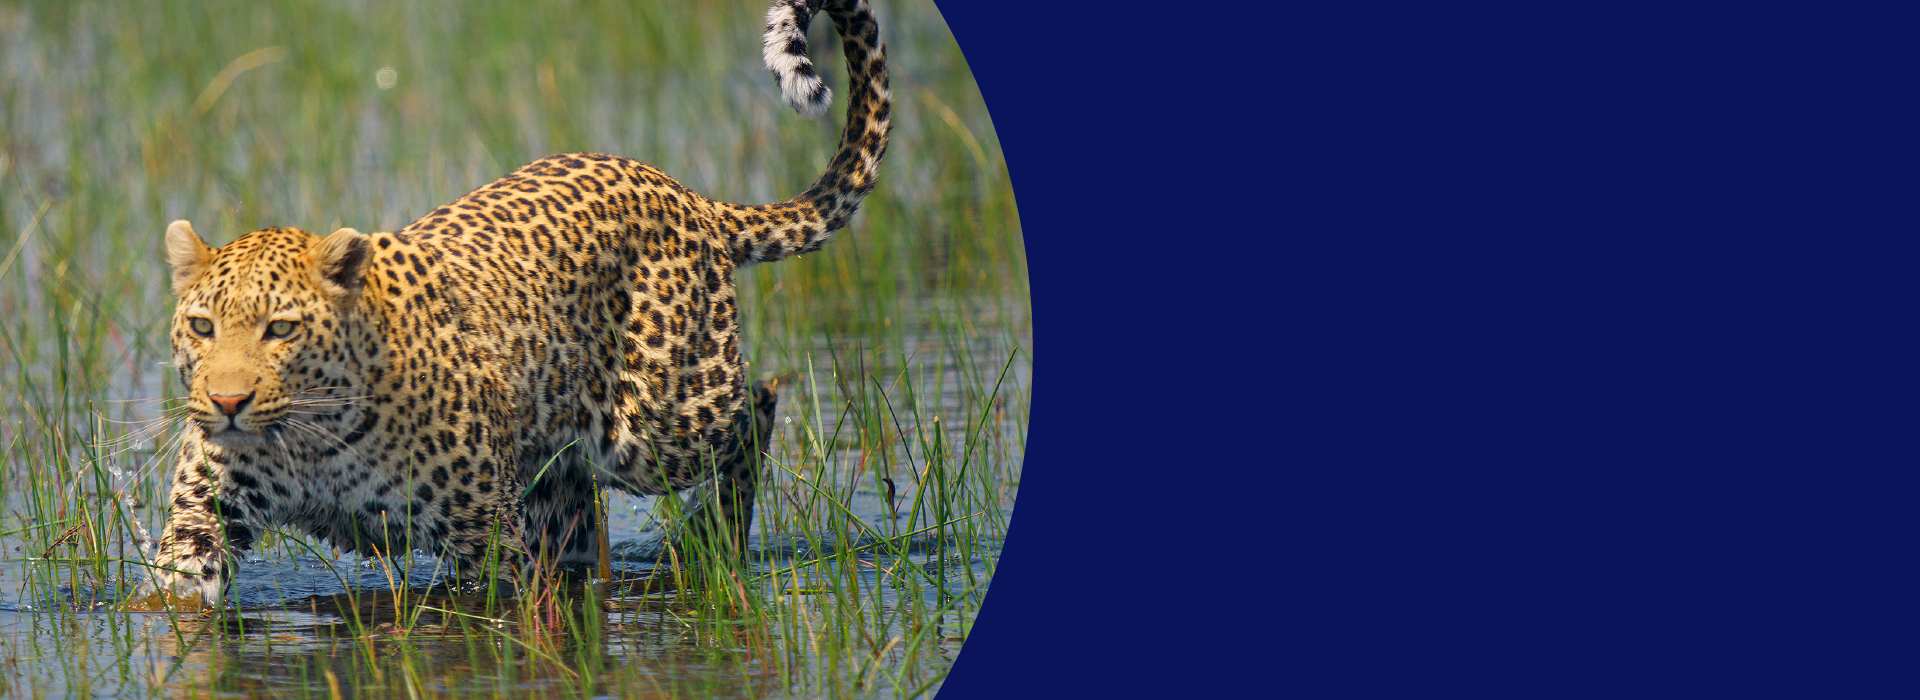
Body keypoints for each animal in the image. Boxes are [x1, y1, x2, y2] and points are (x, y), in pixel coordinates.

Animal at [144, 0, 890, 606]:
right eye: (203, 326)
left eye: (281, 329)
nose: (227, 403)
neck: (309, 443)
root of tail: (688, 194)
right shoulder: (202, 521)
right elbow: (173, 601)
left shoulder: (483, 534)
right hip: (558, 473)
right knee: (581, 533)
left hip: (660, 423)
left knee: (758, 403)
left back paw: (717, 536)